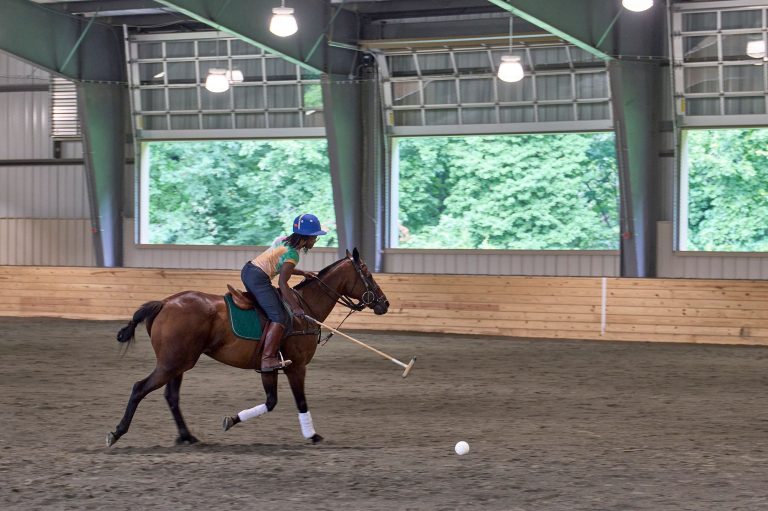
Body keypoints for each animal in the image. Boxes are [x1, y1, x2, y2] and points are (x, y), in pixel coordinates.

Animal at [106, 248, 389, 447]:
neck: (305, 308)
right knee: (139, 388)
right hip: (171, 363)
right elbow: (300, 401)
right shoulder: (297, 367)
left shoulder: (269, 367)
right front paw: (313, 435)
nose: (385, 304)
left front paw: (231, 420)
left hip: (180, 363)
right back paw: (117, 432)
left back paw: (187, 437)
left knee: (171, 396)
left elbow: (271, 401)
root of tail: (164, 303)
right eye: (367, 274)